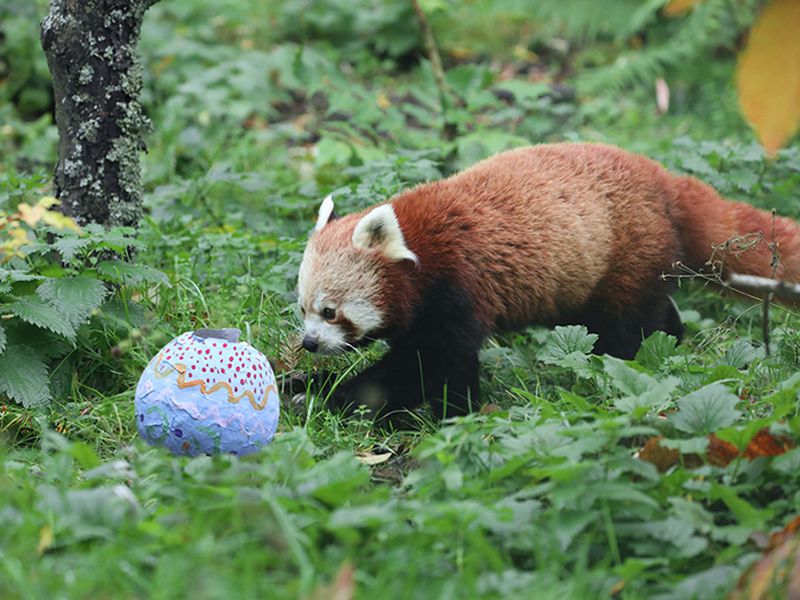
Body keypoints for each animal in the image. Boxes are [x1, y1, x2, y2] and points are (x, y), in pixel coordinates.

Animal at [296, 142, 800, 420]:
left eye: (330, 311)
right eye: (302, 308)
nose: (309, 343)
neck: (420, 242)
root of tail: (663, 178)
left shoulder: (458, 288)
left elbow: (431, 365)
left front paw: (344, 397)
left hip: (625, 252)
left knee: (626, 327)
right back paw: (669, 342)